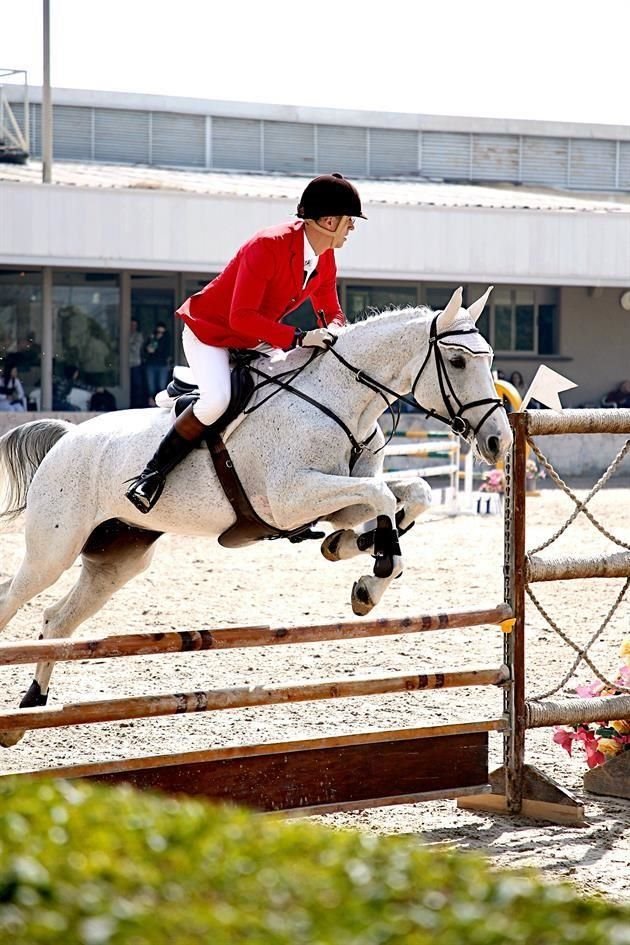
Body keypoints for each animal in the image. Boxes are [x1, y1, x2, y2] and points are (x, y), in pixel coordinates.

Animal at [0, 284, 512, 740]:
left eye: (488, 359)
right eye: (458, 361)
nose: (498, 442)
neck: (339, 400)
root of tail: (68, 436)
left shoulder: (335, 500)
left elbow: (412, 493)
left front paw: (354, 555)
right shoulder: (291, 497)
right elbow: (384, 497)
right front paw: (377, 570)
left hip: (117, 559)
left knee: (57, 621)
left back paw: (32, 705)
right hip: (53, 550)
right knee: (15, 599)